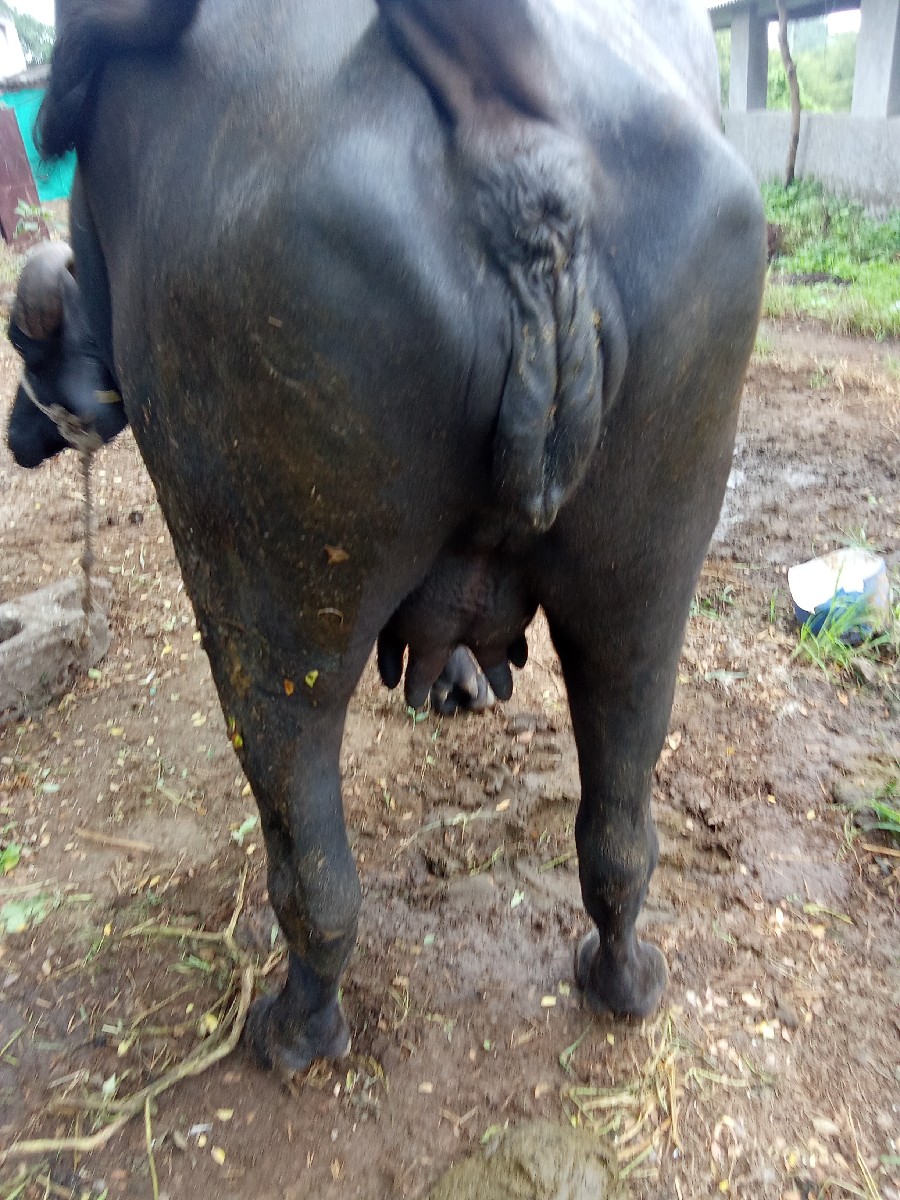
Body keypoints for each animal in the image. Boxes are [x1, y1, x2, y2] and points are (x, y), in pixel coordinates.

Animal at [7, 0, 765, 1076]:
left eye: (25, 342)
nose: (19, 434)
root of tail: (515, 121)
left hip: (270, 607)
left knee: (311, 860)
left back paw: (298, 1026)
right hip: (646, 587)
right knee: (620, 826)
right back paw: (621, 975)